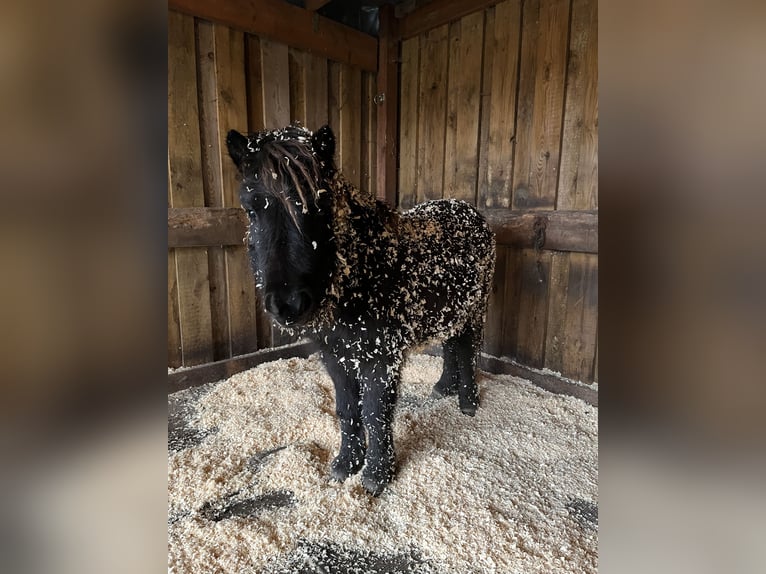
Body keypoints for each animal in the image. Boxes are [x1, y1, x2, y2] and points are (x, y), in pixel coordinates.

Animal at [226, 126, 498, 500]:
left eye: (320, 206)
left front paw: (376, 474)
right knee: (451, 346)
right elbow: (347, 409)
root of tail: (468, 211)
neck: (365, 271)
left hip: (475, 309)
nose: (287, 305)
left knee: (468, 349)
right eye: (251, 209)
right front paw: (346, 464)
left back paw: (468, 401)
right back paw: (444, 387)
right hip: (448, 310)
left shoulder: (381, 359)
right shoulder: (335, 355)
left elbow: (374, 412)